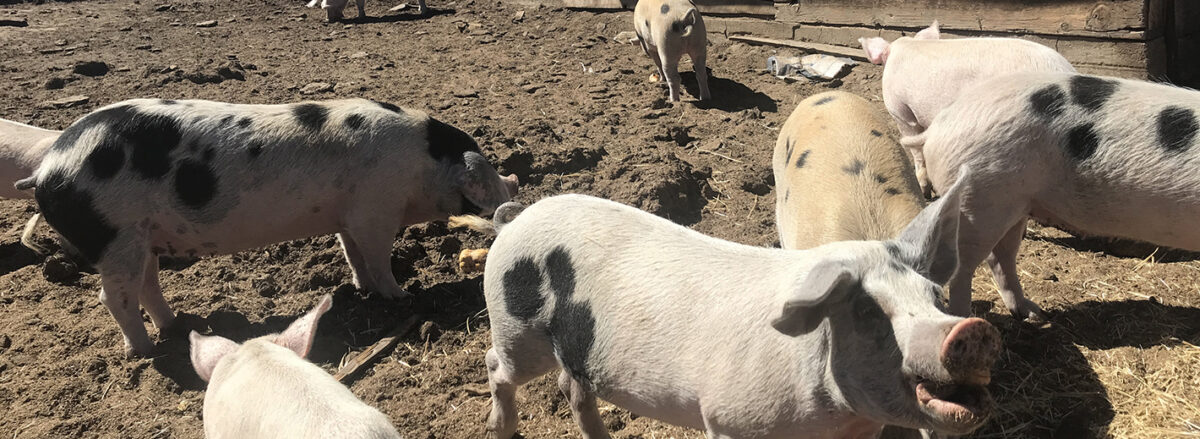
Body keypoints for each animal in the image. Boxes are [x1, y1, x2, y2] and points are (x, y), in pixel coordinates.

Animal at [902, 71, 1200, 319]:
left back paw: (1033, 314)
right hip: (978, 199)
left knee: (1000, 258)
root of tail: (939, 125)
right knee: (964, 267)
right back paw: (968, 320)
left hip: (1015, 203)